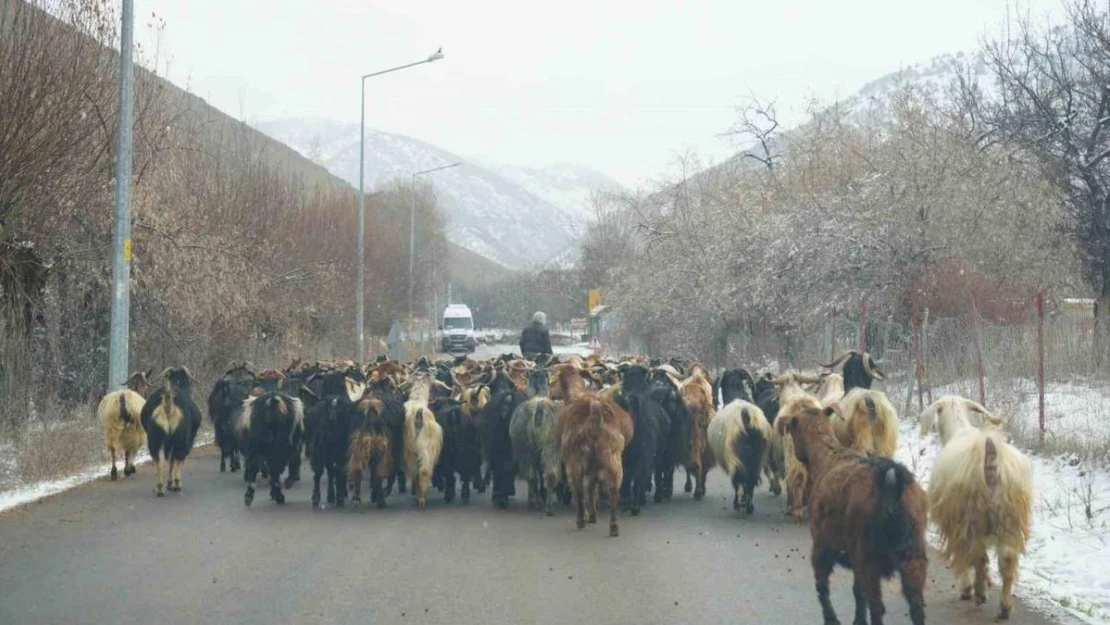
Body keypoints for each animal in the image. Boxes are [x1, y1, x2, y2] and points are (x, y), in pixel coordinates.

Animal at [555, 399, 634, 535]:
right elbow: (590, 490)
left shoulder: (590, 471)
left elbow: (589, 490)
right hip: (611, 460)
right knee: (611, 490)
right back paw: (611, 526)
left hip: (576, 463)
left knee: (579, 490)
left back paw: (584, 520)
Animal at [781, 401, 927, 625]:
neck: (828, 455)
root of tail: (892, 482)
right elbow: (857, 593)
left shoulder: (822, 546)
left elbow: (822, 587)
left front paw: (831, 619)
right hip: (913, 560)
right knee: (916, 607)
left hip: (870, 562)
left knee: (877, 608)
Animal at [919, 395, 1030, 621]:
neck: (958, 429)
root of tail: (990, 456)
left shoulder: (954, 525)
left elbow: (965, 558)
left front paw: (966, 588)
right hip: (1010, 519)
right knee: (1007, 559)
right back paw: (1004, 607)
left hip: (972, 518)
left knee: (978, 556)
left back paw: (978, 593)